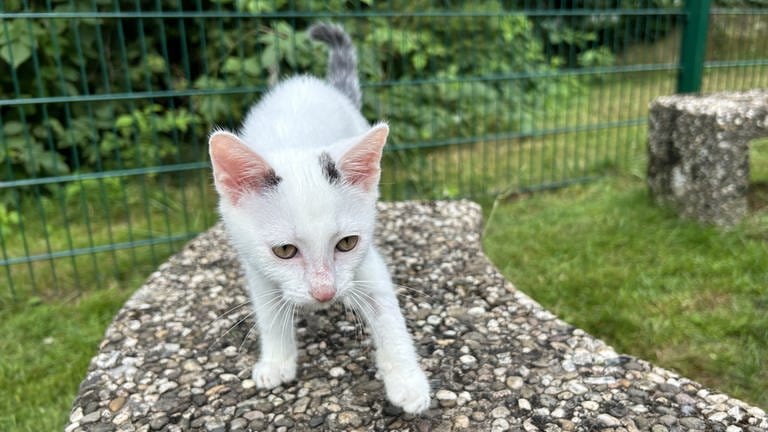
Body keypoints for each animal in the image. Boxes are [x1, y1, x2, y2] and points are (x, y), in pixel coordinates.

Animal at [208, 22, 432, 414]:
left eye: (347, 243)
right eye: (284, 251)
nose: (324, 293)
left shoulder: (367, 261)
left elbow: (388, 314)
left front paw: (408, 382)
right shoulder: (256, 266)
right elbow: (269, 314)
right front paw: (277, 362)